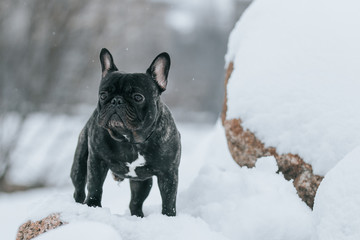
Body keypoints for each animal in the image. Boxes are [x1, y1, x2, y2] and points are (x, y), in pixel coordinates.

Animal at [70, 47, 181, 217]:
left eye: (138, 97)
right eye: (103, 95)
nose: (116, 100)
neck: (130, 140)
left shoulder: (168, 173)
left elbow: (169, 200)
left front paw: (168, 218)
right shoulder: (97, 161)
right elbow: (95, 186)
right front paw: (93, 206)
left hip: (142, 183)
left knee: (135, 202)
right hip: (80, 164)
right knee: (79, 189)